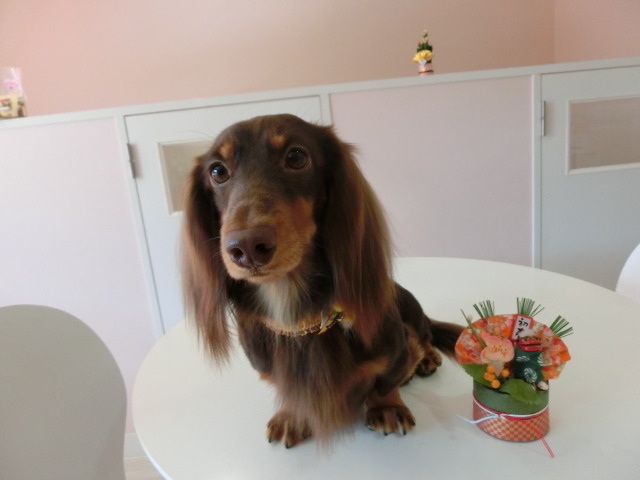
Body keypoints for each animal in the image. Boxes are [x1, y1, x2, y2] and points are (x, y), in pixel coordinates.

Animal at [181, 114, 463, 447]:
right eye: (217, 171)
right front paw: (291, 415)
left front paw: (387, 406)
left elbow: (386, 381)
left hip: (408, 306)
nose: (246, 248)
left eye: (296, 157)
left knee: (425, 335)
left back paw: (427, 357)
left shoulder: (394, 350)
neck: (291, 306)